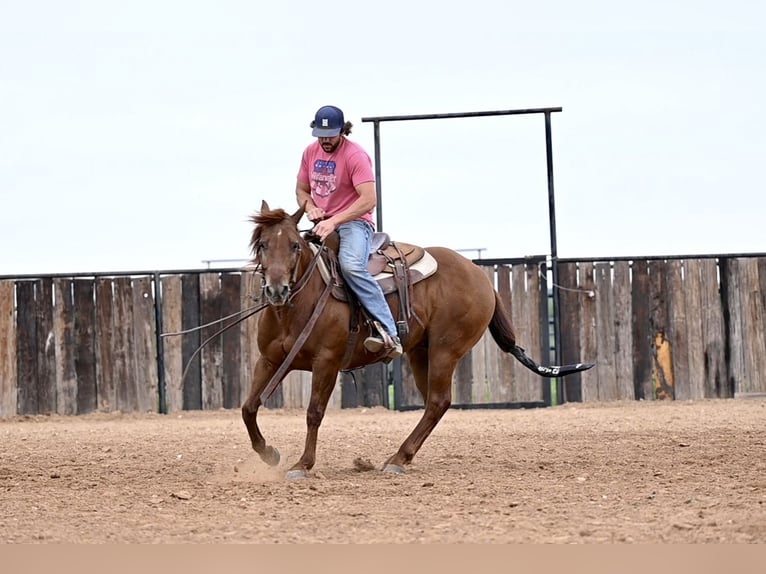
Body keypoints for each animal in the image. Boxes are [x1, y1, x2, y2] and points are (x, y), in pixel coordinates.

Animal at [242, 200, 592, 480]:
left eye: (294, 246)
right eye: (263, 245)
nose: (276, 290)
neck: (298, 305)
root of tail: (480, 276)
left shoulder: (326, 361)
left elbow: (314, 412)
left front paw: (302, 464)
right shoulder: (270, 360)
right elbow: (249, 407)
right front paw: (269, 453)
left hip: (445, 350)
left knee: (438, 401)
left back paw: (398, 458)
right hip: (420, 351)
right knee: (433, 404)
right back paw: (404, 456)